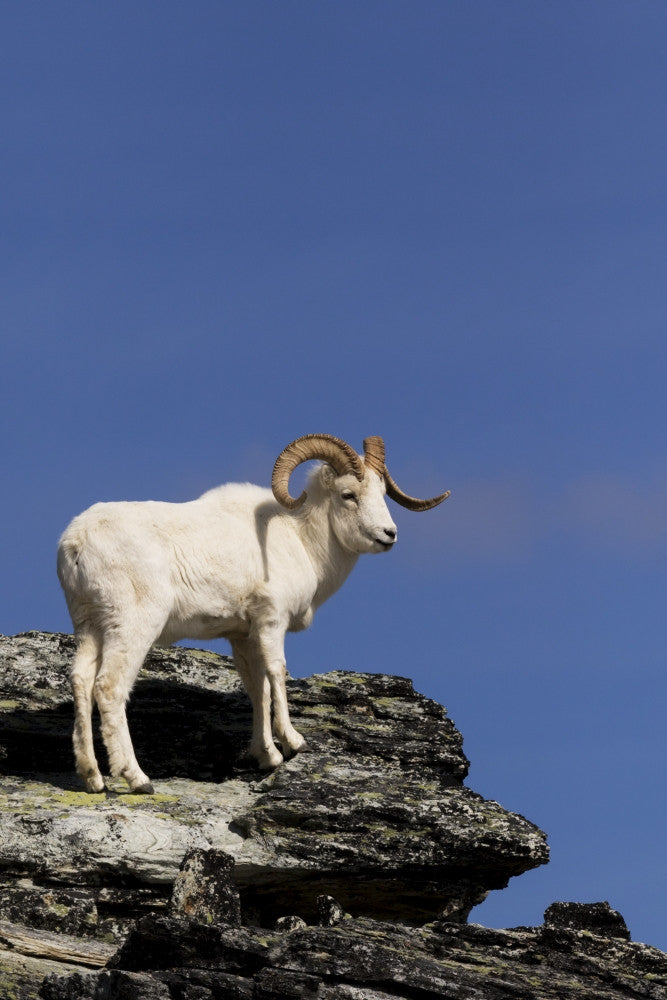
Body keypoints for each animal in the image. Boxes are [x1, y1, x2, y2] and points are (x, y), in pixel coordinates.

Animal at [57, 434, 450, 793]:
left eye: (382, 492)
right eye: (348, 494)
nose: (389, 534)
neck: (300, 539)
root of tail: (77, 541)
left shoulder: (242, 635)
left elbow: (256, 688)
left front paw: (268, 757)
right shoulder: (271, 621)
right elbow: (277, 673)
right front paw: (293, 743)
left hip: (90, 627)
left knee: (81, 680)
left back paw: (92, 777)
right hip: (133, 626)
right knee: (109, 687)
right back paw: (137, 779)